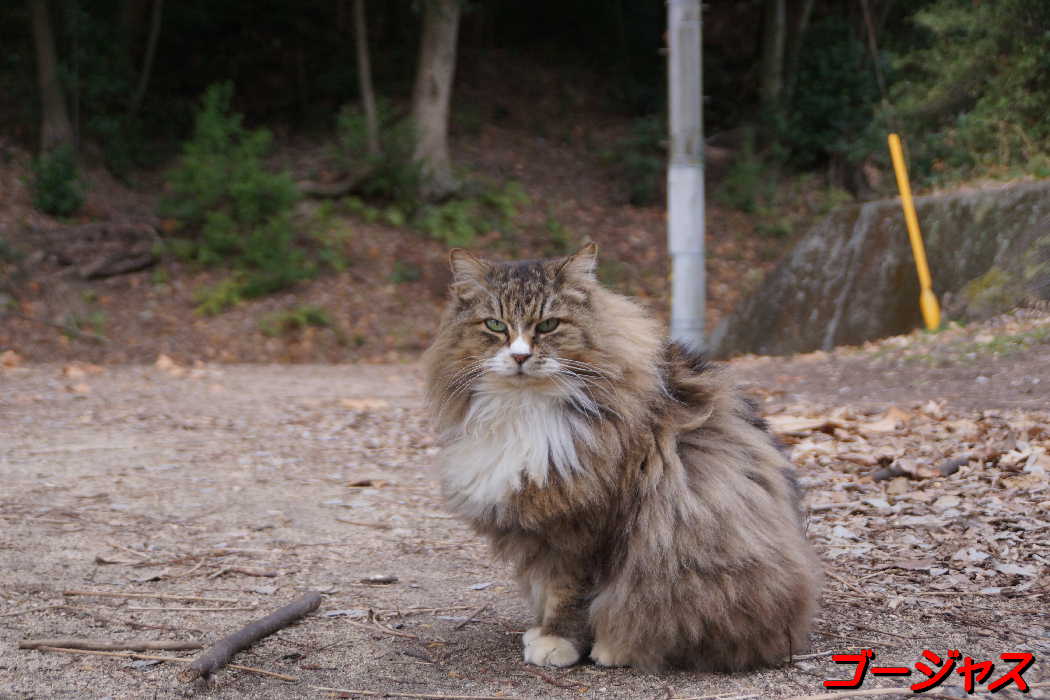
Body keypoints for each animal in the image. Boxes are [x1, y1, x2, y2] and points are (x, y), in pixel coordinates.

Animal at [422, 243, 814, 671]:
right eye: (495, 325)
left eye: (548, 326)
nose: (520, 356)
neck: (524, 409)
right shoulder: (544, 524)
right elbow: (546, 585)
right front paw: (541, 630)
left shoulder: (586, 526)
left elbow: (570, 595)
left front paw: (558, 642)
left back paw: (615, 649)